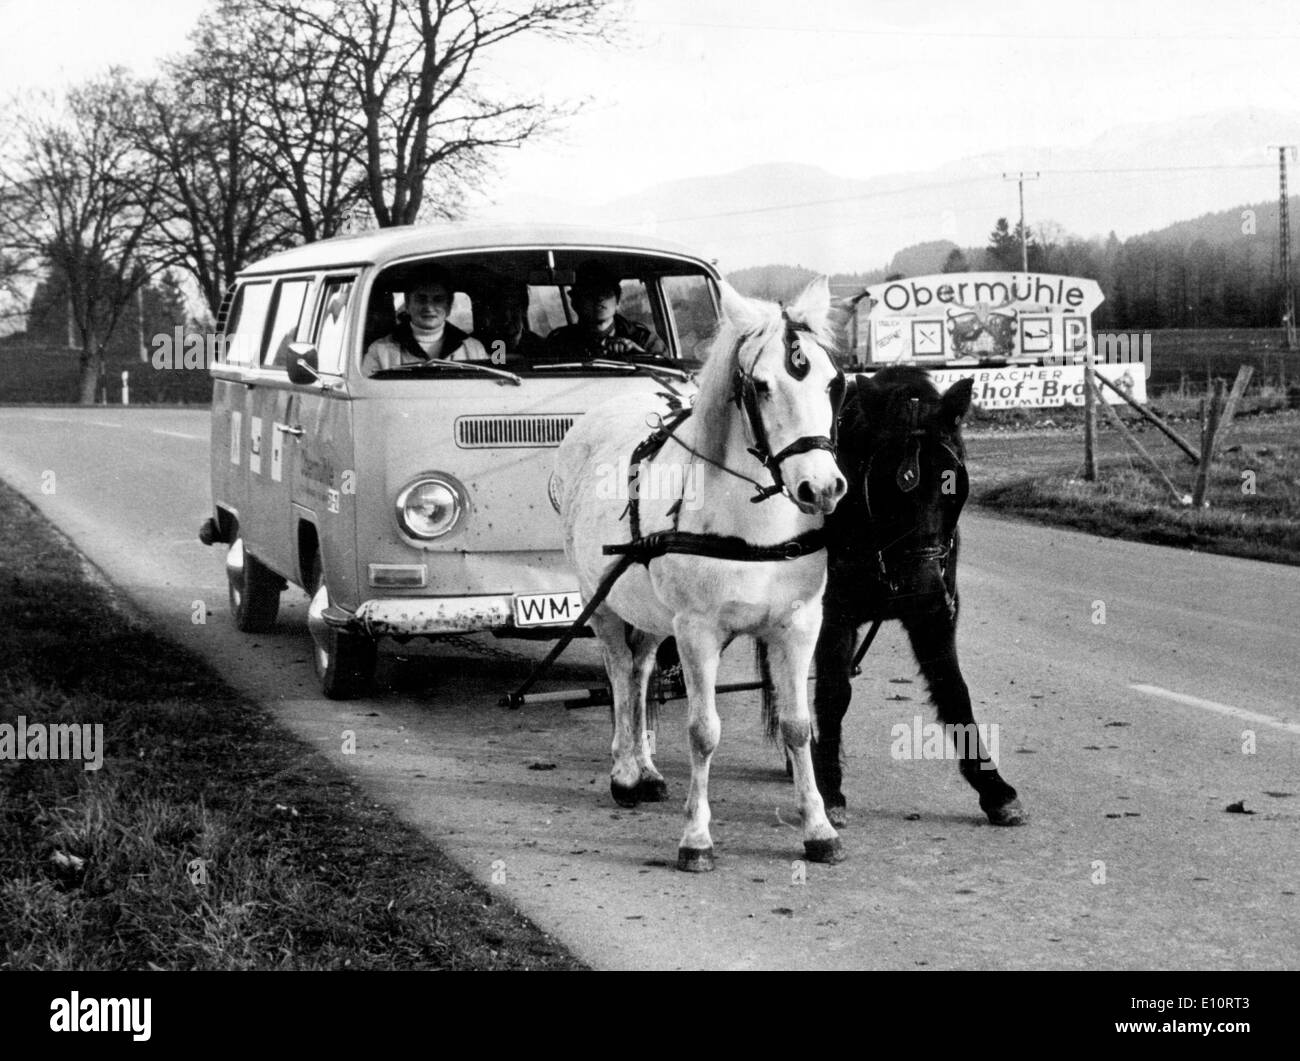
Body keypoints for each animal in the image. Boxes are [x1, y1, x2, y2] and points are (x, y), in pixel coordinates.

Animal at [553, 275, 847, 868]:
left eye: (832, 384)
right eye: (761, 386)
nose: (822, 488)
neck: (755, 528)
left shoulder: (799, 624)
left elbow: (798, 727)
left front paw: (818, 828)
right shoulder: (696, 630)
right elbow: (704, 731)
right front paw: (696, 837)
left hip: (650, 613)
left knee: (641, 671)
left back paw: (645, 769)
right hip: (603, 602)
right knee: (620, 675)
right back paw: (625, 773)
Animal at [811, 364, 1024, 826]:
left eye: (952, 483)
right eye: (883, 485)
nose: (923, 591)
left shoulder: (936, 619)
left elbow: (954, 691)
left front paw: (994, 788)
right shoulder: (832, 615)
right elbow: (834, 693)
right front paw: (829, 786)